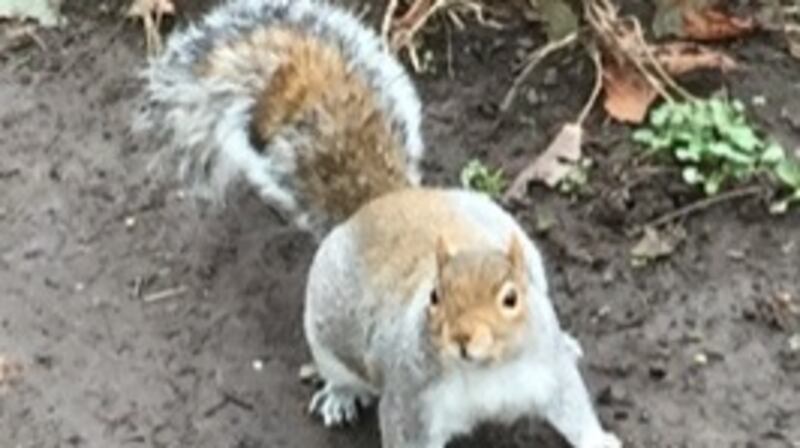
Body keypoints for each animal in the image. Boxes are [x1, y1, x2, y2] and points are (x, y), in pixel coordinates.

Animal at [135, 0, 623, 447]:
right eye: (434, 296)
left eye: (511, 298)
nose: (463, 338)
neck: (487, 371)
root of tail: (382, 202)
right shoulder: (410, 402)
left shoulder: (550, 376)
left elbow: (575, 412)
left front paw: (601, 441)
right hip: (324, 332)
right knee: (340, 370)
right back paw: (339, 396)